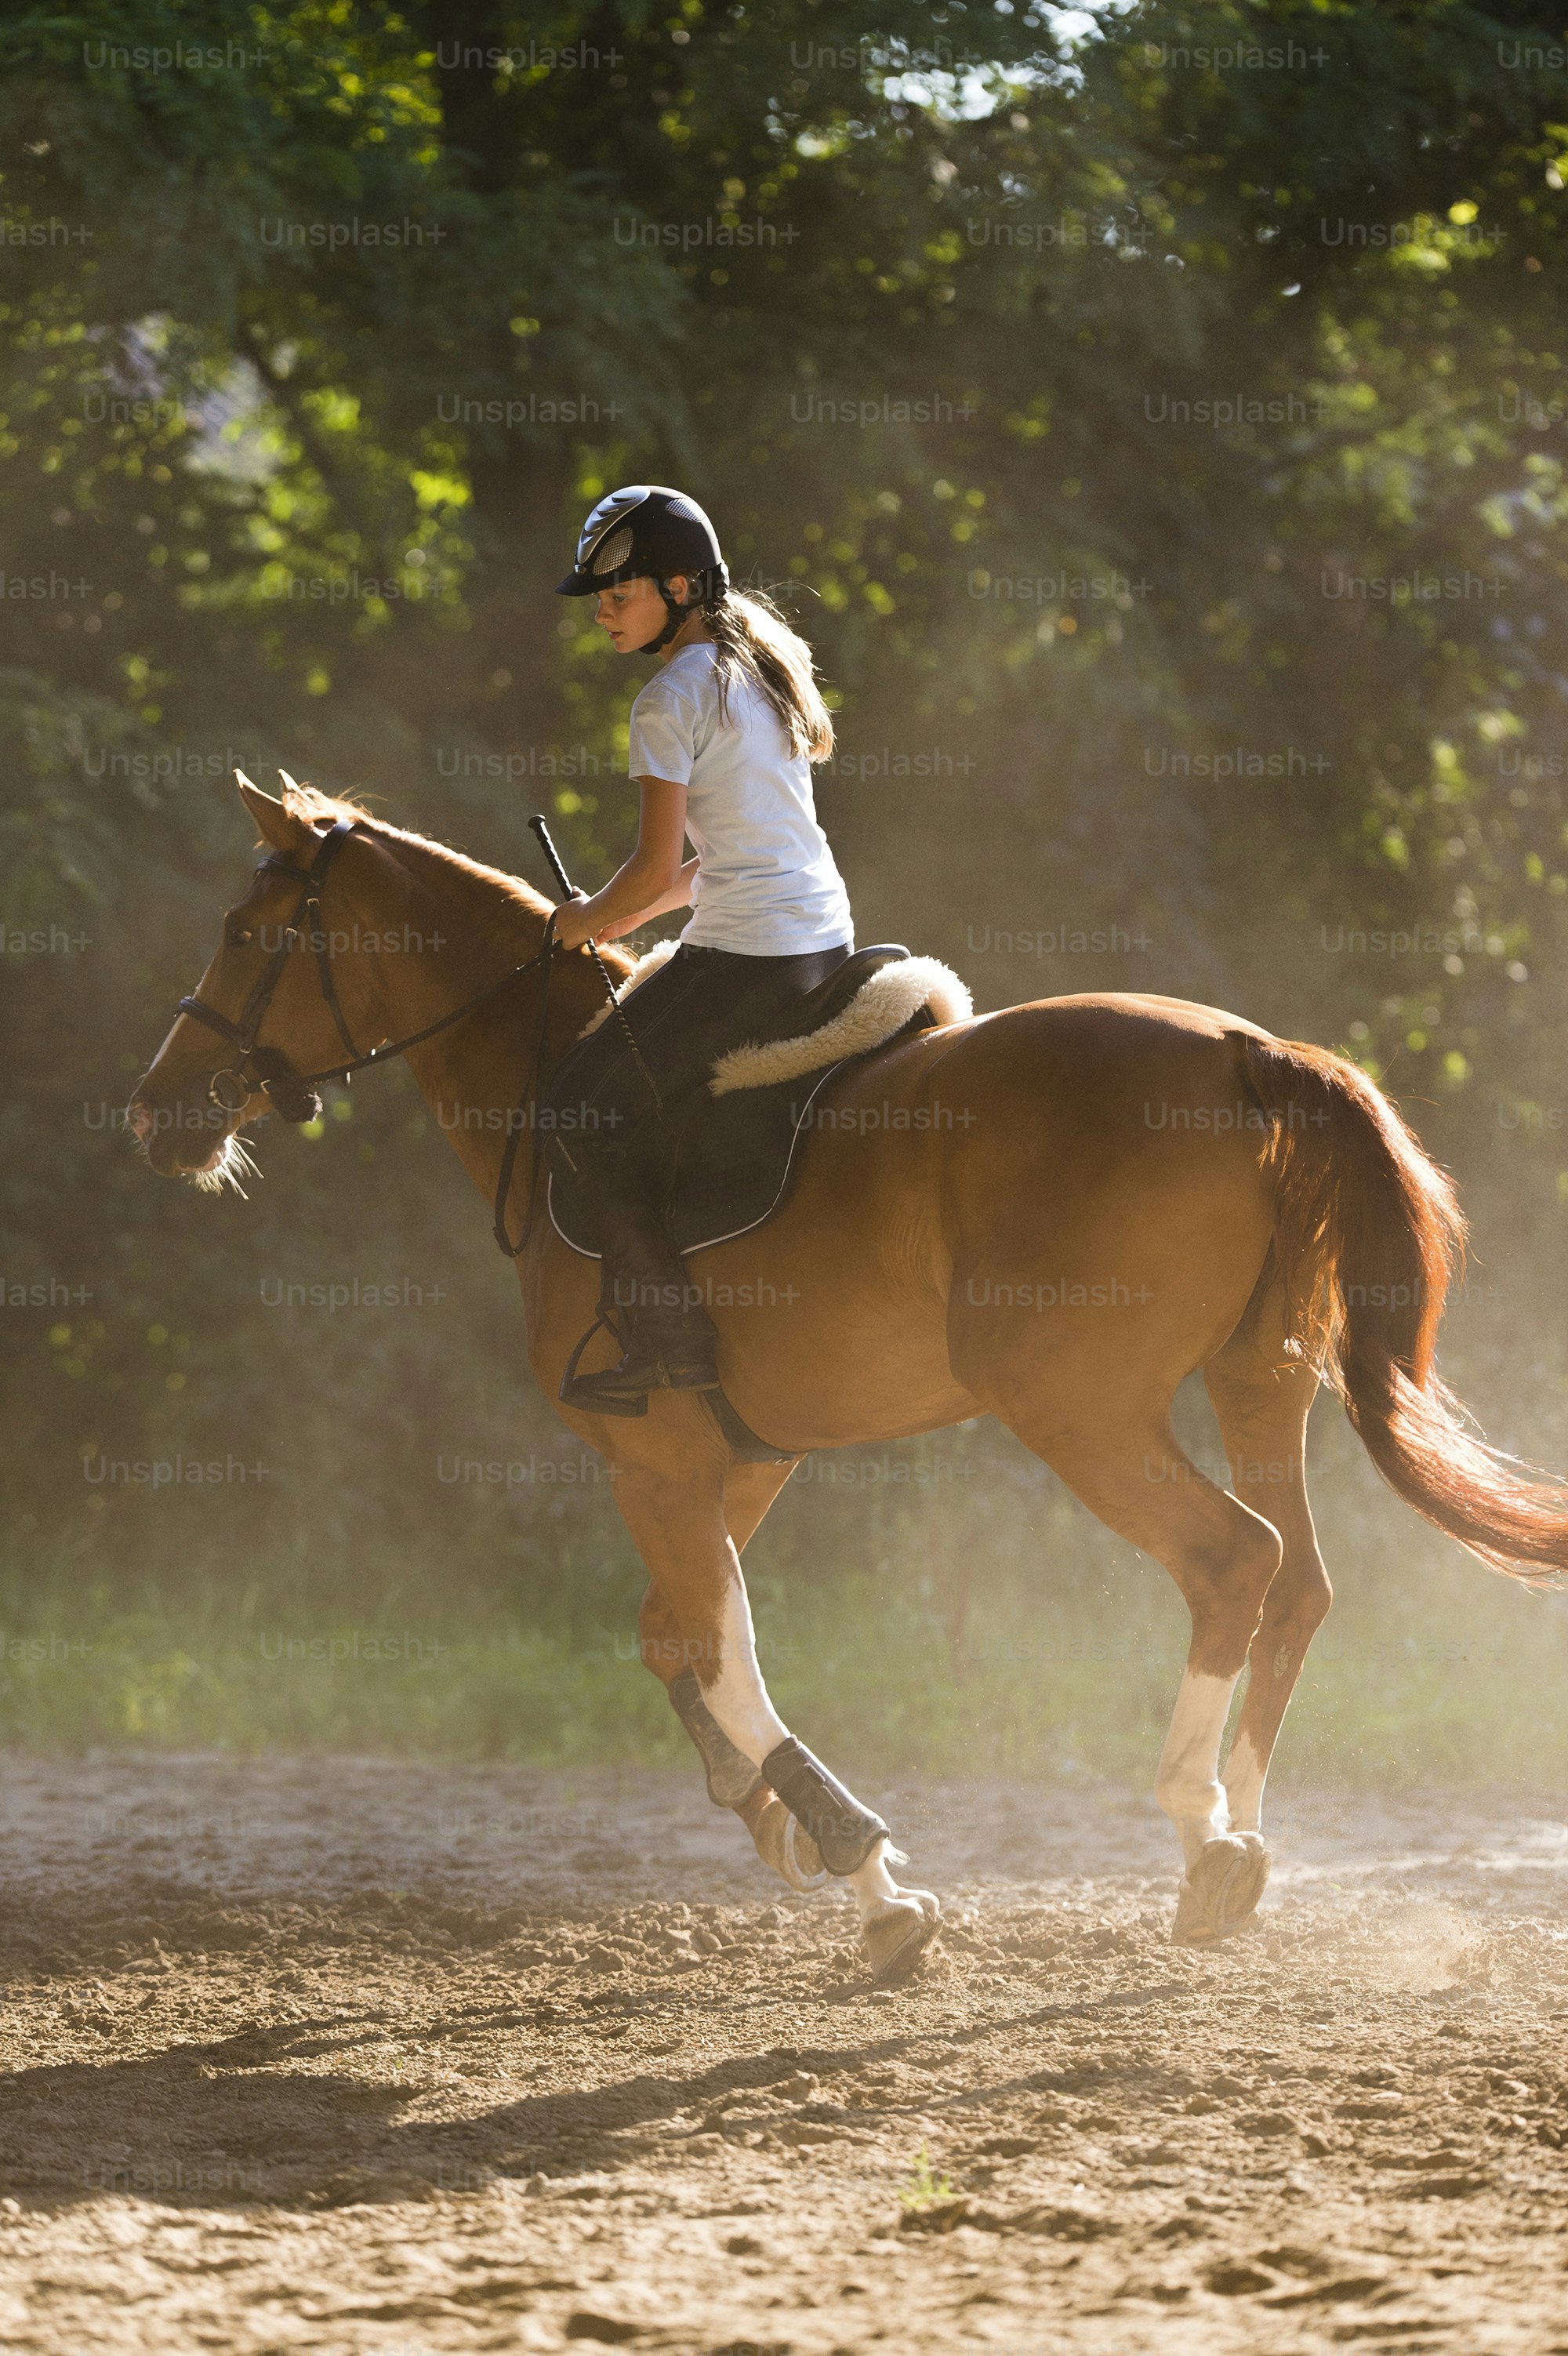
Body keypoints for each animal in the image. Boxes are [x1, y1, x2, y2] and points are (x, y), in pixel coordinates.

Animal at [129, 773, 1568, 1984]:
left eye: (245, 935)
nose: (156, 1110)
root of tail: (1242, 1052)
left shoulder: (657, 1459)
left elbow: (715, 1650)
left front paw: (863, 1871)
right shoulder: (739, 1455)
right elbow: (675, 1639)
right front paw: (779, 1821)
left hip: (1078, 1410)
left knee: (1234, 1561)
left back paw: (1202, 1831)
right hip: (1256, 1377)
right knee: (1301, 1584)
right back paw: (1242, 1847)